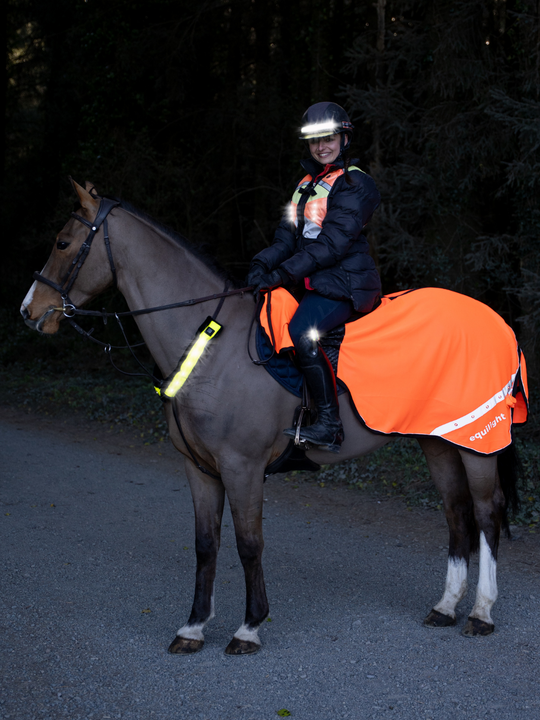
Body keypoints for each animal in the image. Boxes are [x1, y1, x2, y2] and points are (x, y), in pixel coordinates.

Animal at [20, 179, 523, 655]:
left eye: (63, 243)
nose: (29, 310)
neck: (211, 343)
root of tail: (497, 320)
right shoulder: (199, 468)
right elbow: (206, 544)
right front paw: (193, 627)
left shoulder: (242, 468)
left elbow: (248, 544)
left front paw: (249, 627)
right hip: (437, 440)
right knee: (456, 512)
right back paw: (445, 607)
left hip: (475, 443)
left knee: (486, 512)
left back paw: (481, 613)